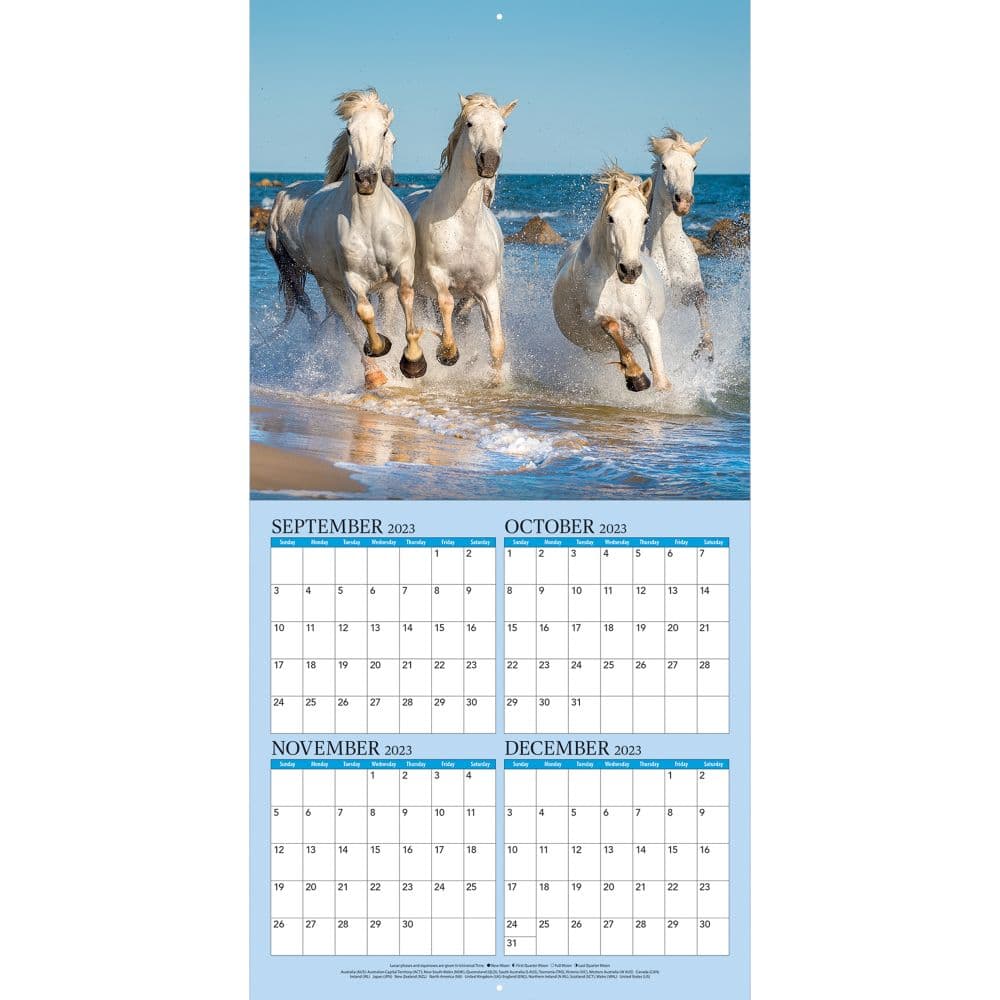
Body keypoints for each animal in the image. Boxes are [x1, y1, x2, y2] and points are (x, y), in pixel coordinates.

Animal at [410, 93, 517, 379]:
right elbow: (446, 303)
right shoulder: (438, 276)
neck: (464, 225)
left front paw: (495, 379)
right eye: (470, 123)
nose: (489, 161)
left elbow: (496, 341)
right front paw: (447, 353)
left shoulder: (486, 289)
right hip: (416, 292)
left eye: (503, 127)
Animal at [551, 166, 669, 392]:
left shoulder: (645, 322)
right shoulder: (592, 318)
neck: (615, 282)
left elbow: (661, 377)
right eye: (611, 218)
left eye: (645, 219)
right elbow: (612, 325)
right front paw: (636, 376)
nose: (630, 270)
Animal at [643, 128, 714, 360]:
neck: (668, 252)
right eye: (664, 166)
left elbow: (702, 298)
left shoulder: (688, 290)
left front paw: (705, 347)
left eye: (694, 166)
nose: (683, 201)